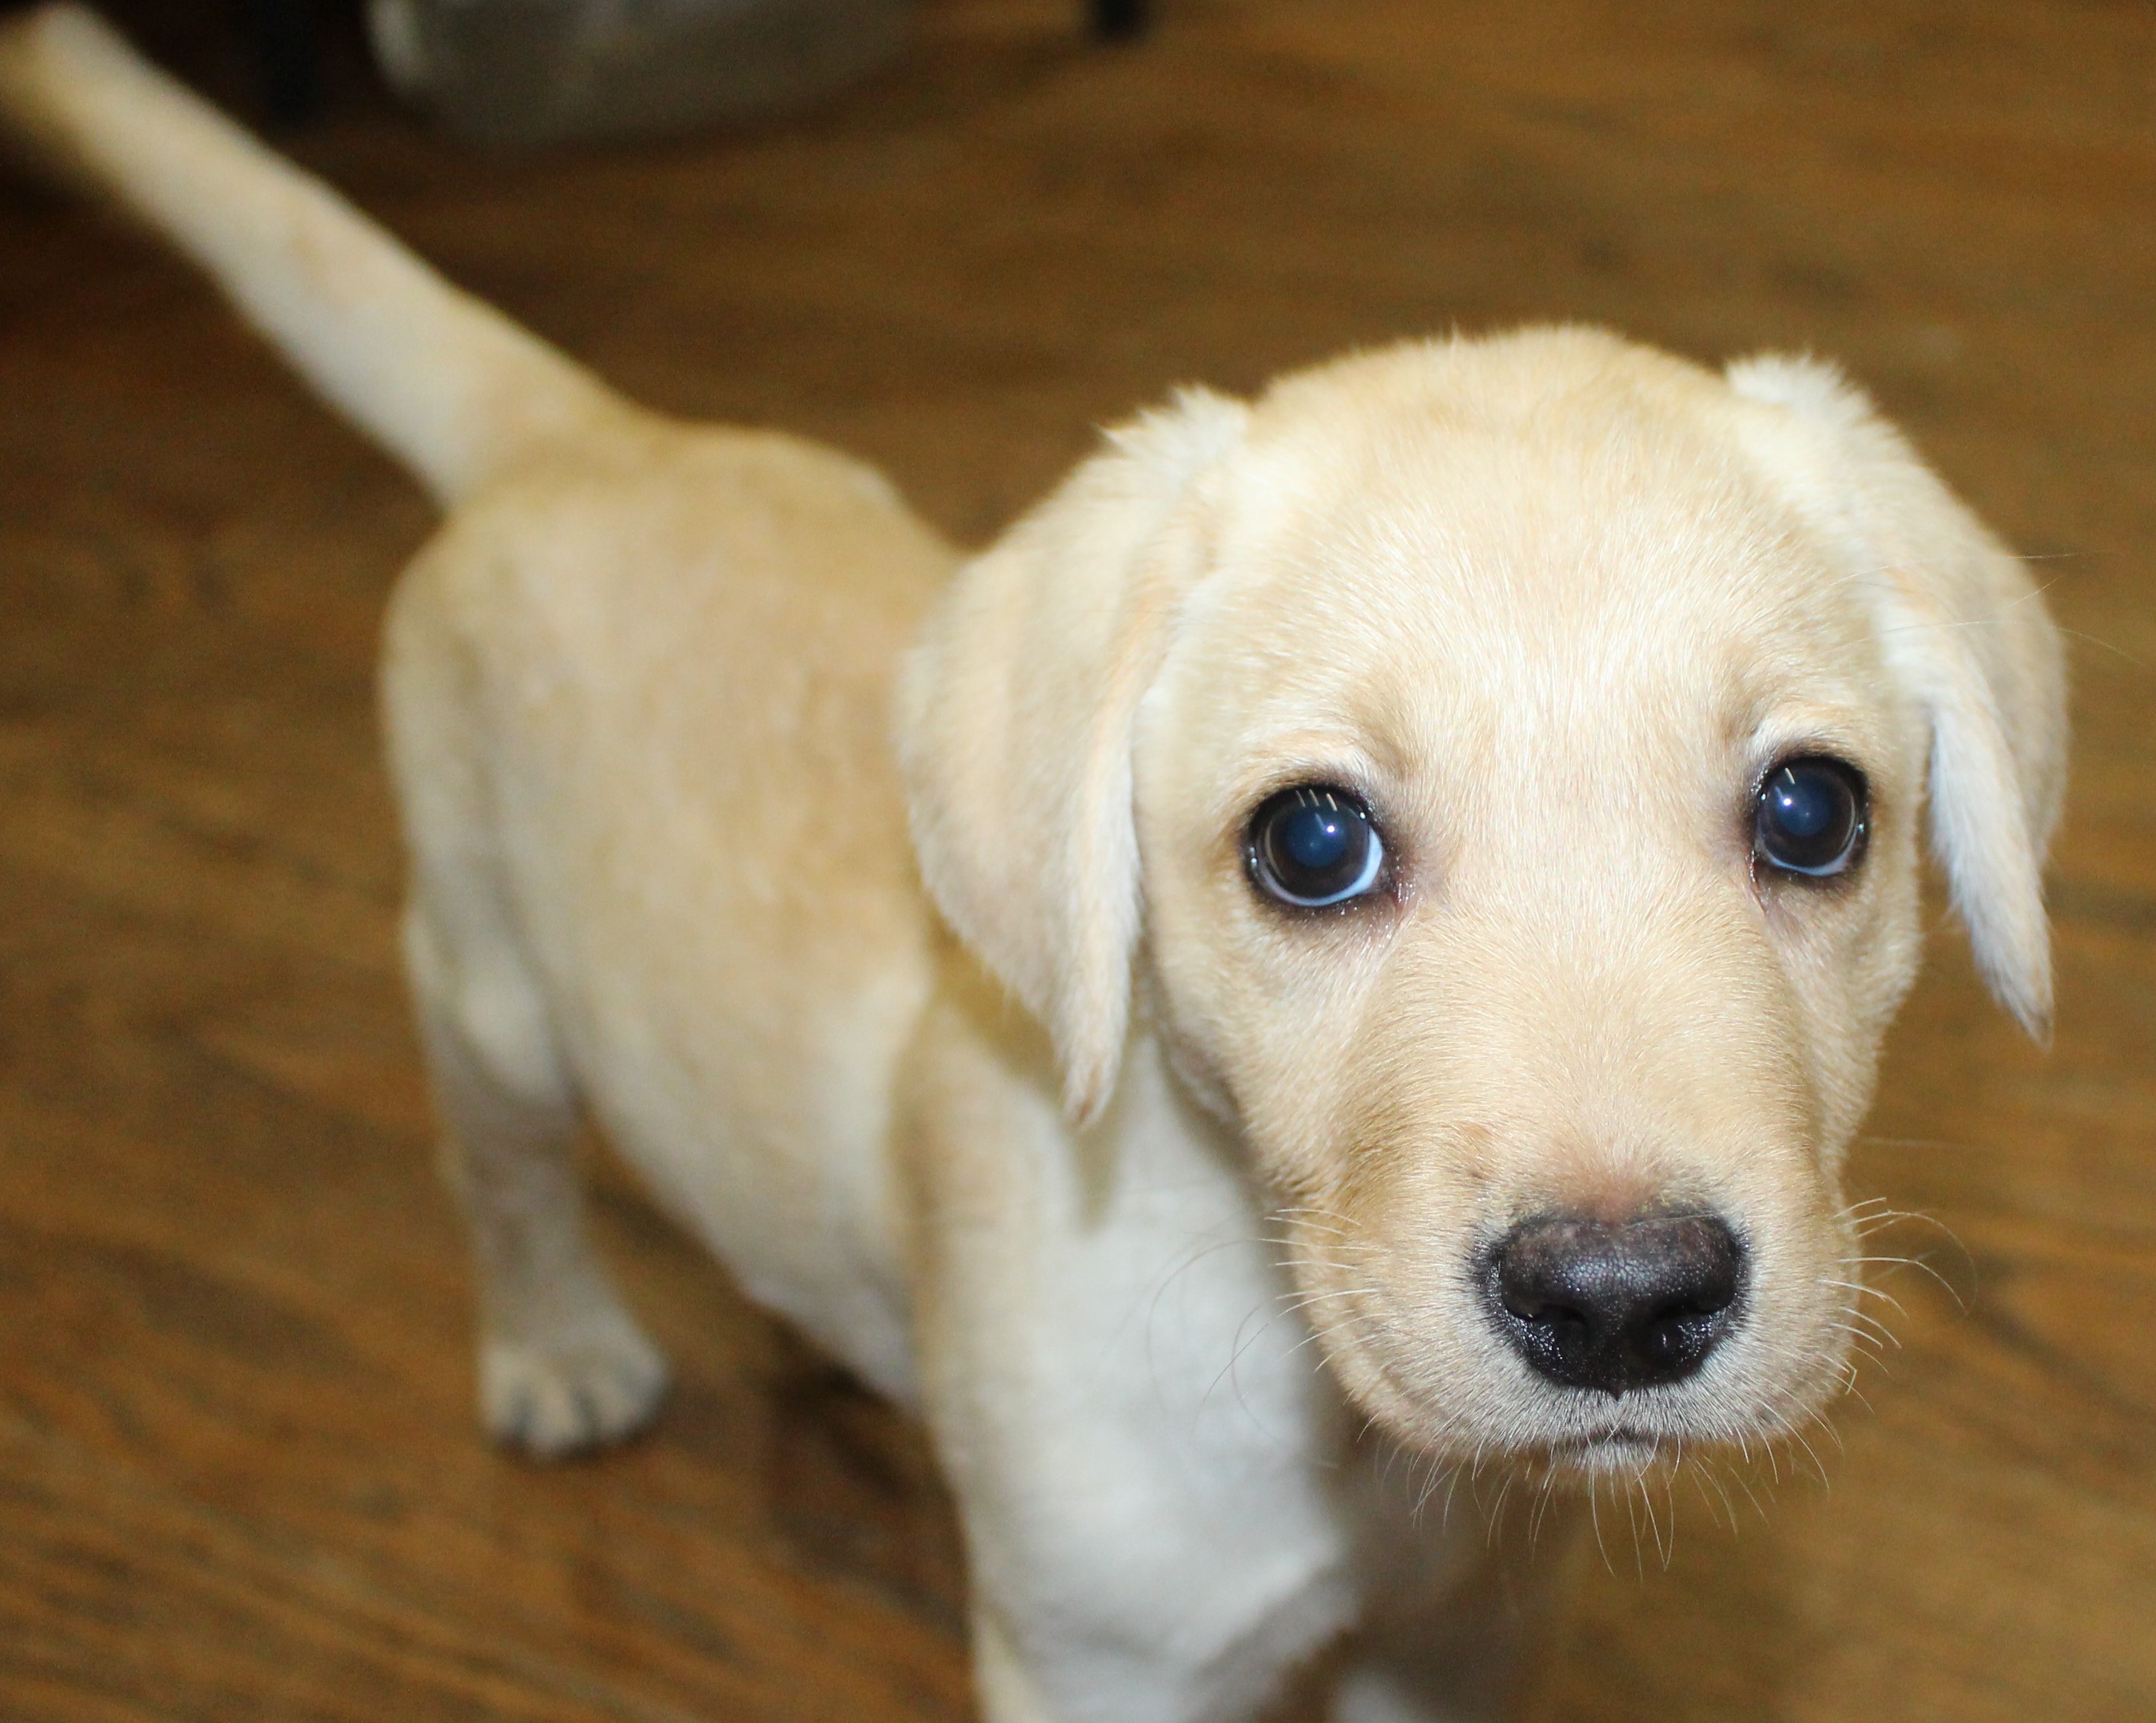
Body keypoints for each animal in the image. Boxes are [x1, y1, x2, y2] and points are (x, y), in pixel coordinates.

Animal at [8, 7, 2078, 1716]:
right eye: (1310, 843)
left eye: (1812, 813)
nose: (1624, 1302)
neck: (1304, 1382)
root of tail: (585, 433)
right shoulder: (1102, 1665)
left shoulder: (1462, 1633)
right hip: (486, 986)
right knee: (501, 1175)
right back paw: (558, 1350)